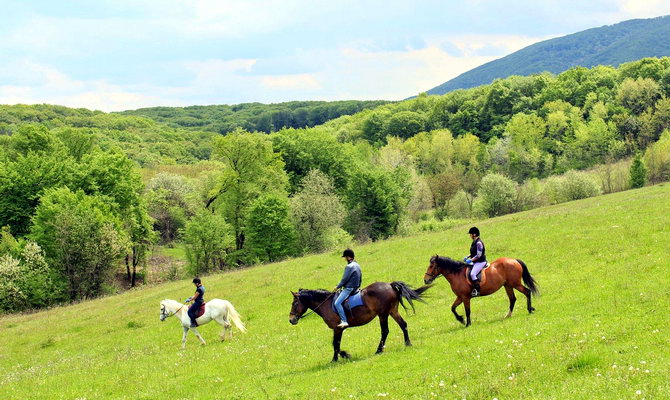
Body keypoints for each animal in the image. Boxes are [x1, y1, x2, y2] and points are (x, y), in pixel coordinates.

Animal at [292, 282, 434, 362]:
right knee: (403, 325)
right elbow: (335, 344)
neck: (326, 303)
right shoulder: (337, 329)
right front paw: (342, 356)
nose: (291, 319)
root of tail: (389, 285)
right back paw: (407, 343)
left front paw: (339, 358)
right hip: (393, 311)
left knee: (385, 331)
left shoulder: (338, 328)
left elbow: (335, 344)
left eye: (295, 303)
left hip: (383, 314)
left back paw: (379, 350)